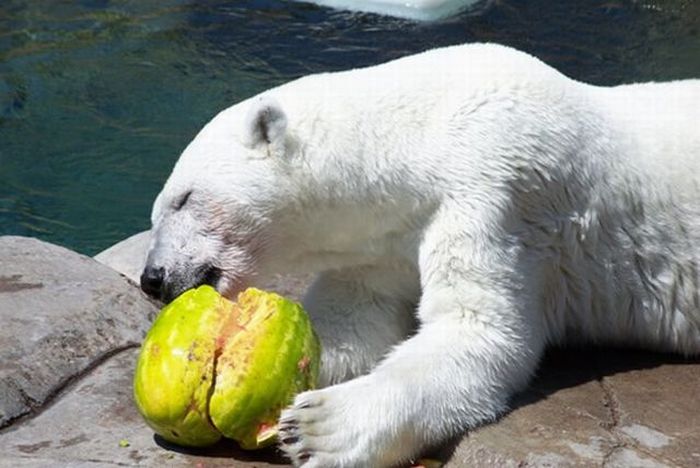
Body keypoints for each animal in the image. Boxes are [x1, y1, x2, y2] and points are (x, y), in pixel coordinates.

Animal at [142, 42, 700, 466]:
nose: (153, 277)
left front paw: (318, 427)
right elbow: (352, 320)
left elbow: (478, 331)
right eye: (158, 209)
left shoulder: (502, 191)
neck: (422, 134)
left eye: (184, 198)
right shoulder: (385, 241)